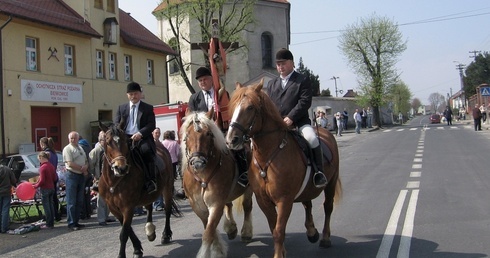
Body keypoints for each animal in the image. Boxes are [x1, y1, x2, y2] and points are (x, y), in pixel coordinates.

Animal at [97, 123, 180, 258]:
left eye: (125, 141)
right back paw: (150, 231)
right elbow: (128, 229)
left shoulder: (128, 207)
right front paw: (137, 248)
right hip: (148, 195)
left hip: (167, 187)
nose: (121, 168)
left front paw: (124, 254)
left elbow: (124, 233)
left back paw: (166, 235)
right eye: (108, 142)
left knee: (167, 210)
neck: (113, 182)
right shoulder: (114, 208)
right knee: (149, 207)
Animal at [182, 109, 255, 258]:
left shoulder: (215, 204)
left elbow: (208, 233)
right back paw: (231, 228)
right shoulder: (198, 207)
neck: (202, 177)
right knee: (229, 205)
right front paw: (218, 249)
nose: (198, 162)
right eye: (187, 135)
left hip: (248, 189)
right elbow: (210, 229)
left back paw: (246, 233)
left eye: (209, 134)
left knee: (247, 206)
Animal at [225, 80, 340, 258]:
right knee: (307, 203)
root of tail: (325, 131)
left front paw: (279, 254)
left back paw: (325, 238)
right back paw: (312, 232)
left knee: (328, 207)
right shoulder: (263, 200)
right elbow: (274, 229)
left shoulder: (284, 200)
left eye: (250, 107)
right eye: (232, 107)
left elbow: (279, 231)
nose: (231, 140)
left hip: (331, 182)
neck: (268, 156)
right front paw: (283, 251)